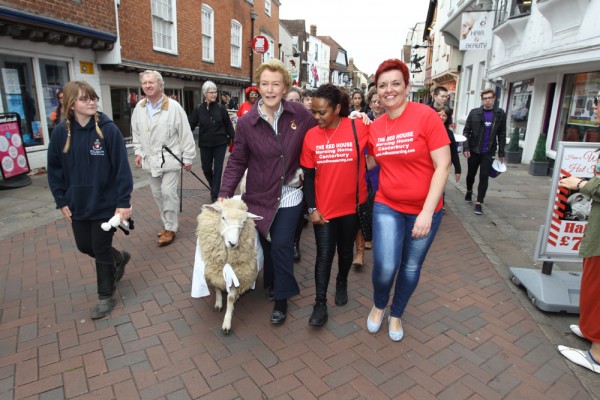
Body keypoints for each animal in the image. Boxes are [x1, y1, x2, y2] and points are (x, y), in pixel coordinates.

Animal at [197, 198, 262, 334]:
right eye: (223, 217)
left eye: (243, 222)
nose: (233, 243)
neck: (226, 257)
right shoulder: (214, 269)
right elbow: (216, 286)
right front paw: (218, 303)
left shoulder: (238, 273)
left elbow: (230, 298)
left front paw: (226, 323)